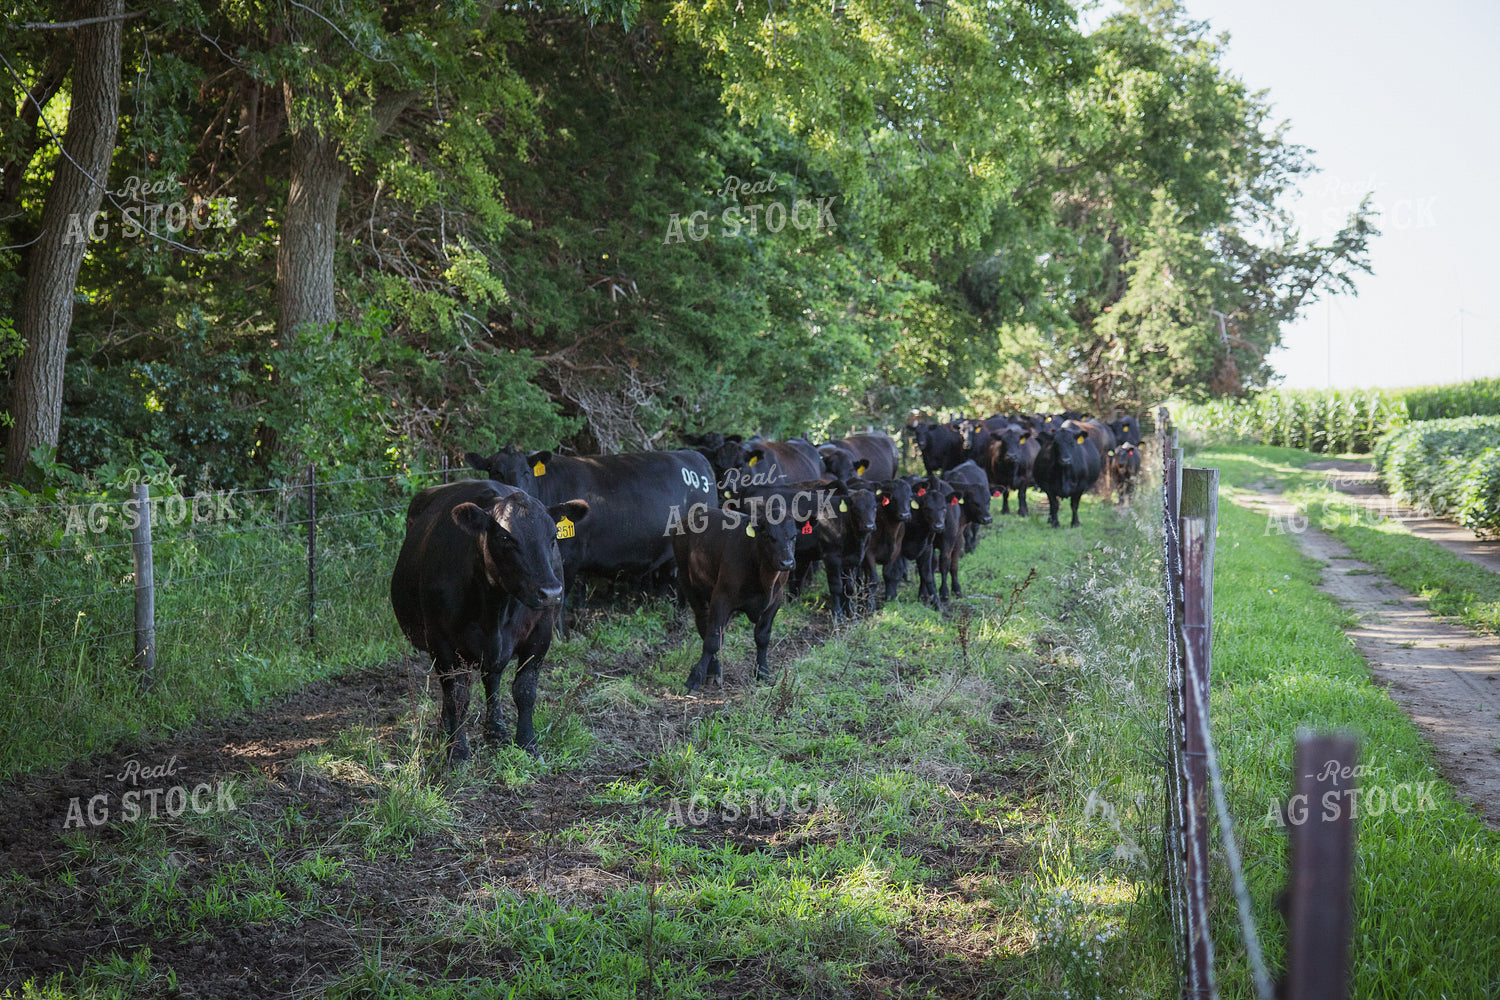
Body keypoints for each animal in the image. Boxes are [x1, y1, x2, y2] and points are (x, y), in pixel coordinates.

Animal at [390, 480, 589, 761]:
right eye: (506, 538)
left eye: (553, 538)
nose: (551, 592)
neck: (497, 607)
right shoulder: (441, 640)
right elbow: (457, 696)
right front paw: (457, 750)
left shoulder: (540, 634)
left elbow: (525, 690)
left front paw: (528, 743)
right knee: (453, 689)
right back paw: (446, 730)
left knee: (491, 679)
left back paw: (496, 729)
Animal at [465, 446, 716, 630]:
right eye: (495, 471)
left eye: (526, 472)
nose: (512, 490)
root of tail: (692, 454)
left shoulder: (567, 559)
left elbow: (562, 598)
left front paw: (559, 635)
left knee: (681, 587)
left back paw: (678, 624)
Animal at [672, 503, 799, 692]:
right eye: (768, 536)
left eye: (794, 536)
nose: (787, 563)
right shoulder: (721, 597)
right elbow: (712, 639)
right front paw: (695, 678)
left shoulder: (776, 600)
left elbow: (762, 637)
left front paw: (762, 672)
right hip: (688, 583)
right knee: (704, 625)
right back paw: (713, 671)